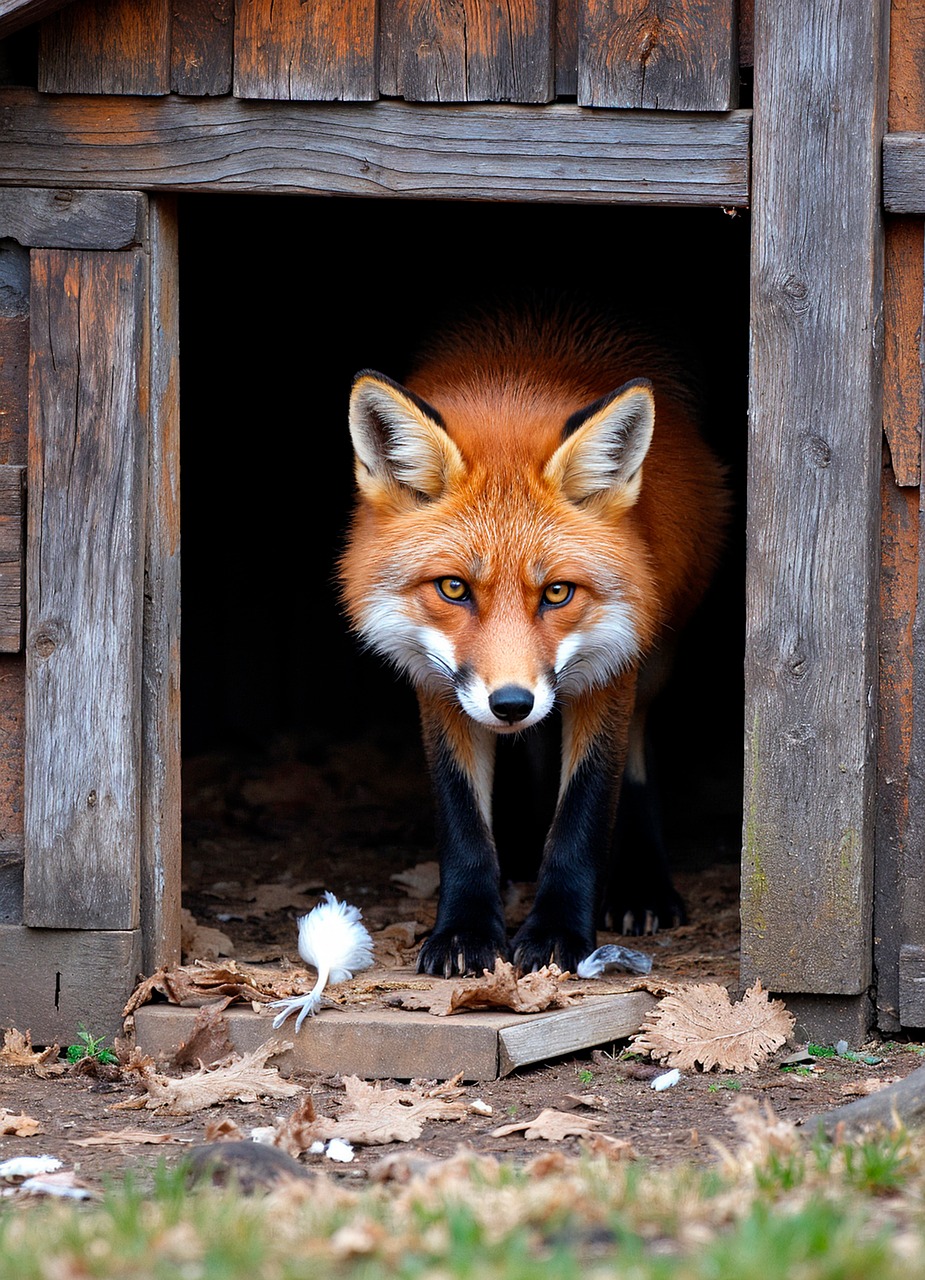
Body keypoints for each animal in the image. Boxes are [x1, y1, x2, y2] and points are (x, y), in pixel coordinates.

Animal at [339, 298, 729, 978]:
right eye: (454, 588)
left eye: (557, 593)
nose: (512, 703)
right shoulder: (436, 681)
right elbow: (462, 822)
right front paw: (465, 932)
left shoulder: (613, 664)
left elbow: (584, 814)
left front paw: (557, 933)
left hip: (654, 653)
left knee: (636, 756)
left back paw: (643, 884)